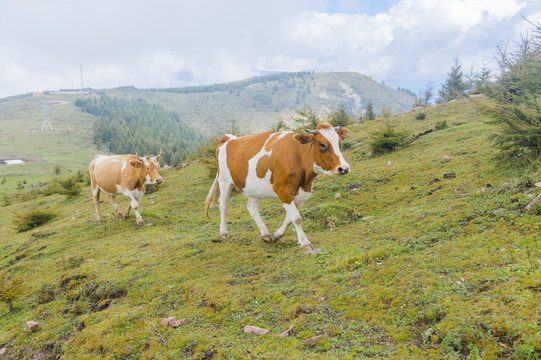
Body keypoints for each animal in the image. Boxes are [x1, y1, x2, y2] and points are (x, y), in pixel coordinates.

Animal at [204, 122, 350, 249]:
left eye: (339, 143)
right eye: (323, 145)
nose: (344, 168)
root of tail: (229, 137)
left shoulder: (302, 193)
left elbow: (290, 218)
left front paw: (276, 235)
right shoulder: (282, 190)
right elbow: (296, 218)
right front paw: (305, 243)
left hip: (252, 187)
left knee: (251, 207)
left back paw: (265, 234)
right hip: (224, 181)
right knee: (223, 205)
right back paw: (224, 232)